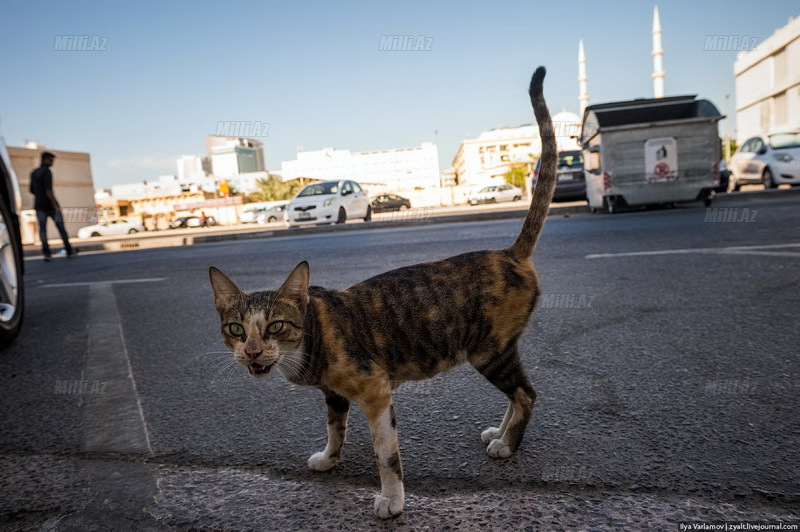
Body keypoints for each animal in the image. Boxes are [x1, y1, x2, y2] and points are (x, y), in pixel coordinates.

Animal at [209, 67, 552, 520]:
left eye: (276, 326)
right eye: (235, 328)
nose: (251, 352)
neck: (312, 335)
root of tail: (509, 253)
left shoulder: (376, 392)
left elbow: (385, 454)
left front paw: (392, 498)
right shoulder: (335, 395)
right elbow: (335, 430)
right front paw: (329, 459)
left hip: (488, 351)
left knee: (526, 393)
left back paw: (508, 445)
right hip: (498, 350)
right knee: (517, 391)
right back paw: (501, 429)